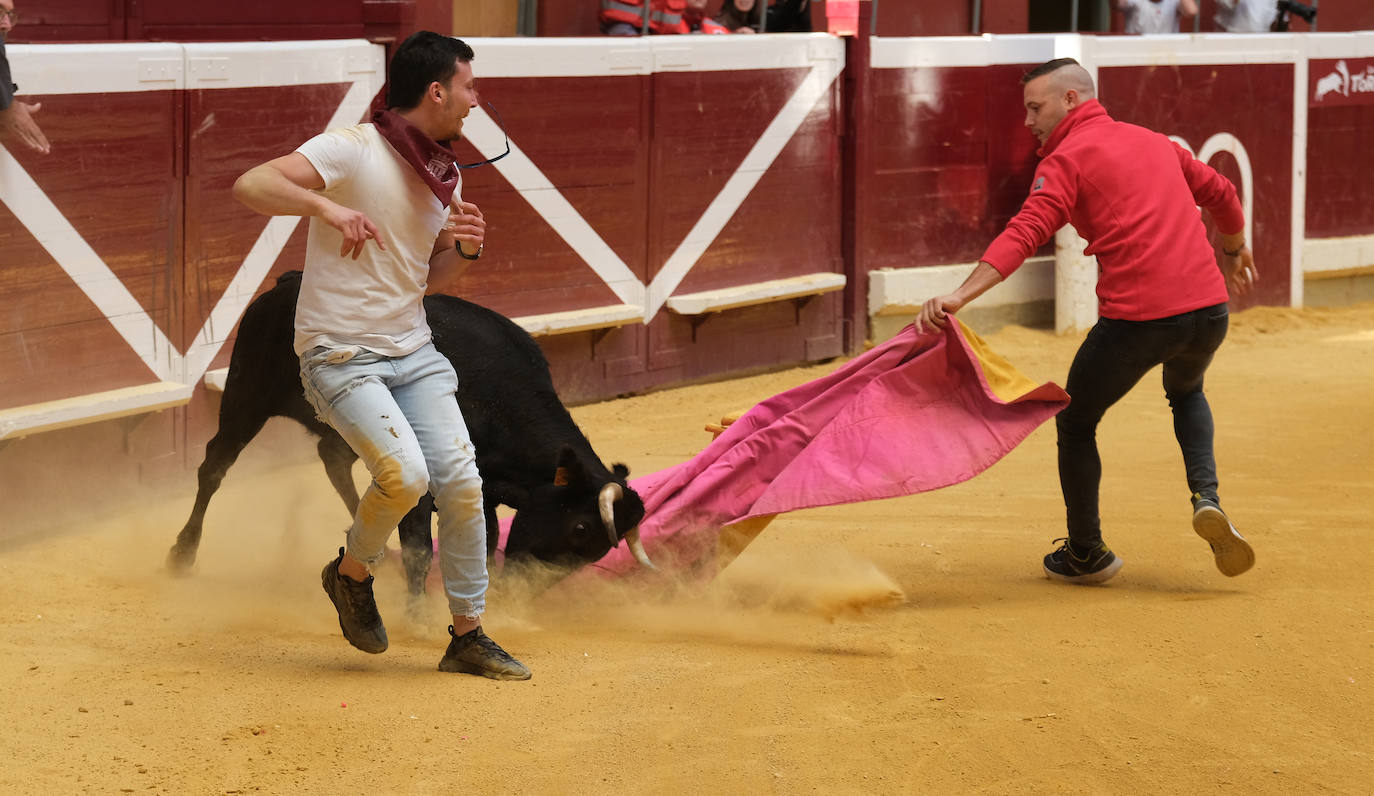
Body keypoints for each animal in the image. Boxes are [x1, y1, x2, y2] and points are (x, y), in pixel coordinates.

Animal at [164, 270, 648, 593]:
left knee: (333, 459)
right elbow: (424, 547)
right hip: (245, 396)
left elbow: (485, 540)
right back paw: (182, 554)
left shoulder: (482, 488)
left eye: (596, 550)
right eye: (581, 528)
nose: (522, 591)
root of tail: (288, 281)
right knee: (214, 466)